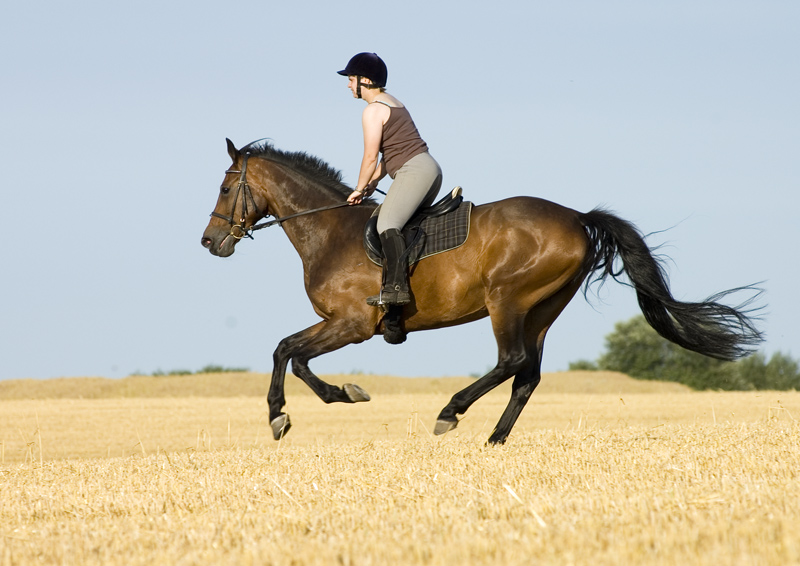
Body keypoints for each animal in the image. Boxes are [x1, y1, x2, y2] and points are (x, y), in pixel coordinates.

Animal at [200, 140, 764, 446]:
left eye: (225, 188)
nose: (209, 242)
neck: (331, 230)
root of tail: (578, 218)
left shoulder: (351, 324)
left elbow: (287, 352)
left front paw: (284, 414)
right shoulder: (341, 325)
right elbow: (290, 354)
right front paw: (328, 398)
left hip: (507, 301)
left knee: (511, 361)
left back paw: (450, 413)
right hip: (542, 309)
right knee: (527, 375)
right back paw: (495, 439)